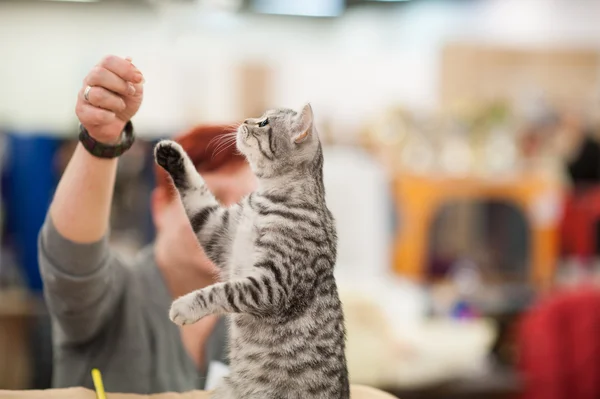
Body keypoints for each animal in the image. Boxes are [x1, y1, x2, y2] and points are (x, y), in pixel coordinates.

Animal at [155, 104, 350, 399]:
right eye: (261, 116)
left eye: (264, 123)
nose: (246, 120)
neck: (266, 198)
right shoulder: (219, 232)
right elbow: (198, 195)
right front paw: (172, 154)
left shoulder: (272, 284)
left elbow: (222, 291)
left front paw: (185, 307)